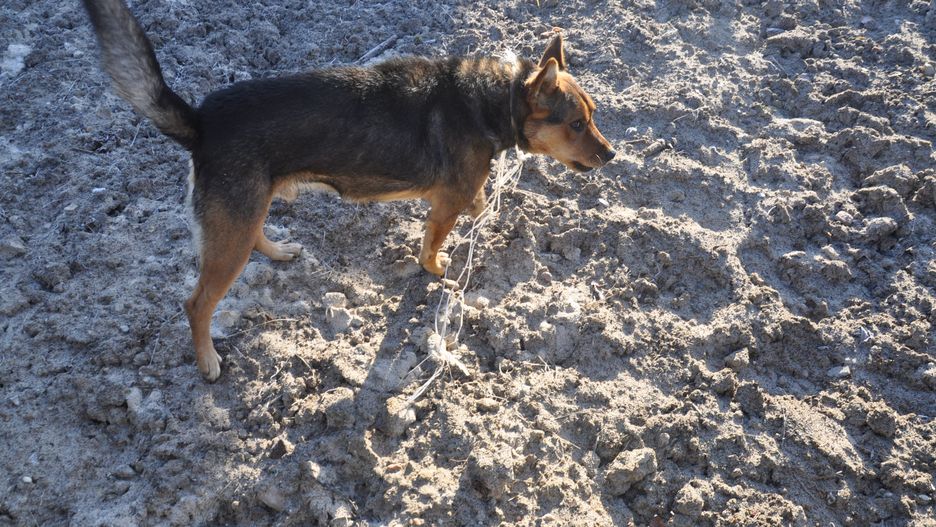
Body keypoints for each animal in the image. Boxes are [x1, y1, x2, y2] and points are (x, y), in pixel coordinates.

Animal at [83, 0, 616, 381]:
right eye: (576, 124)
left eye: (591, 116)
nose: (611, 155)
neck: (495, 96)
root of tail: (199, 123)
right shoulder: (444, 204)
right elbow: (431, 247)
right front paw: (439, 270)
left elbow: (478, 200)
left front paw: (483, 211)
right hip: (231, 229)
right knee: (196, 304)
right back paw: (208, 361)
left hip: (247, 209)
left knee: (252, 238)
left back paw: (277, 251)